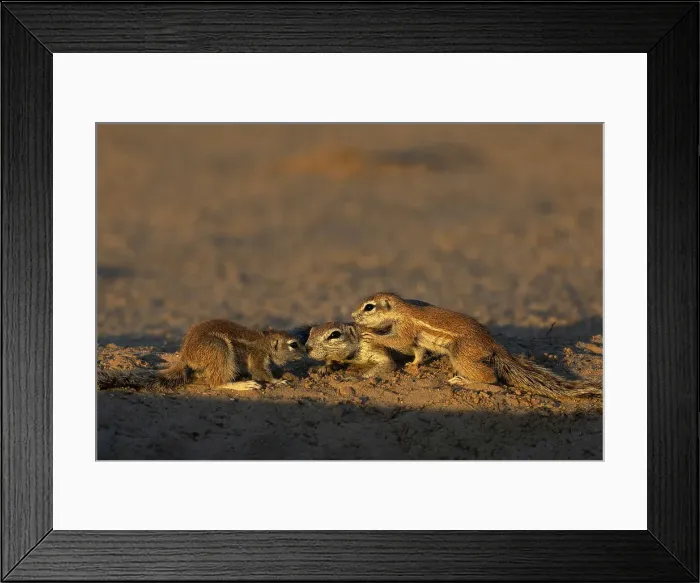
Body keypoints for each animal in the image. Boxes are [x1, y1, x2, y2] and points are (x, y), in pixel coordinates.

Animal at [97, 319, 307, 391]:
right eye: (293, 345)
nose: (306, 351)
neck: (265, 341)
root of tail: (185, 356)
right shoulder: (257, 356)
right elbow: (260, 373)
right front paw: (278, 380)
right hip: (219, 348)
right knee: (216, 382)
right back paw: (242, 384)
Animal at [351, 292, 602, 401]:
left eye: (369, 307)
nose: (353, 316)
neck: (401, 311)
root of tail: (492, 343)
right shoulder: (416, 340)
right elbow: (418, 352)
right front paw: (414, 365)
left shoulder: (405, 331)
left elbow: (397, 341)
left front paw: (372, 335)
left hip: (460, 354)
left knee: (491, 379)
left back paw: (463, 380)